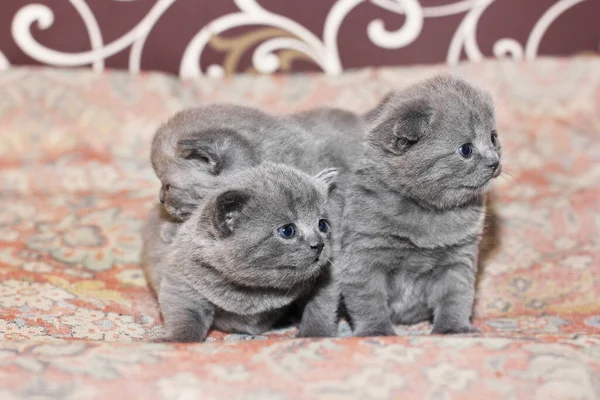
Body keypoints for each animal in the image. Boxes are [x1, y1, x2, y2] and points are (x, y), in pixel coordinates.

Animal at [142, 161, 338, 342]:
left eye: (322, 224)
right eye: (287, 230)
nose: (319, 244)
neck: (259, 291)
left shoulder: (324, 281)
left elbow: (320, 307)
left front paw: (314, 335)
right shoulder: (182, 282)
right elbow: (185, 318)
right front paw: (174, 340)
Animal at [338, 74, 502, 334]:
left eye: (493, 138)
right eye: (466, 149)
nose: (494, 162)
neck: (428, 211)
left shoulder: (457, 259)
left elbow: (456, 297)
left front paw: (454, 329)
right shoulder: (365, 255)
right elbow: (368, 300)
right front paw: (377, 331)